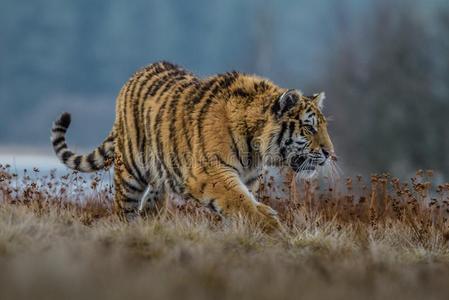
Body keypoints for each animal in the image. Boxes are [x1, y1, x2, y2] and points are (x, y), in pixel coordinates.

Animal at [50, 61, 334, 230]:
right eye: (309, 128)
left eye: (323, 126)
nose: (330, 153)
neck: (256, 148)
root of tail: (133, 76)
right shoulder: (210, 172)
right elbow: (239, 201)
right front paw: (269, 223)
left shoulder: (249, 180)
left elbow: (242, 204)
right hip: (130, 172)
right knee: (124, 209)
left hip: (159, 179)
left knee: (151, 207)